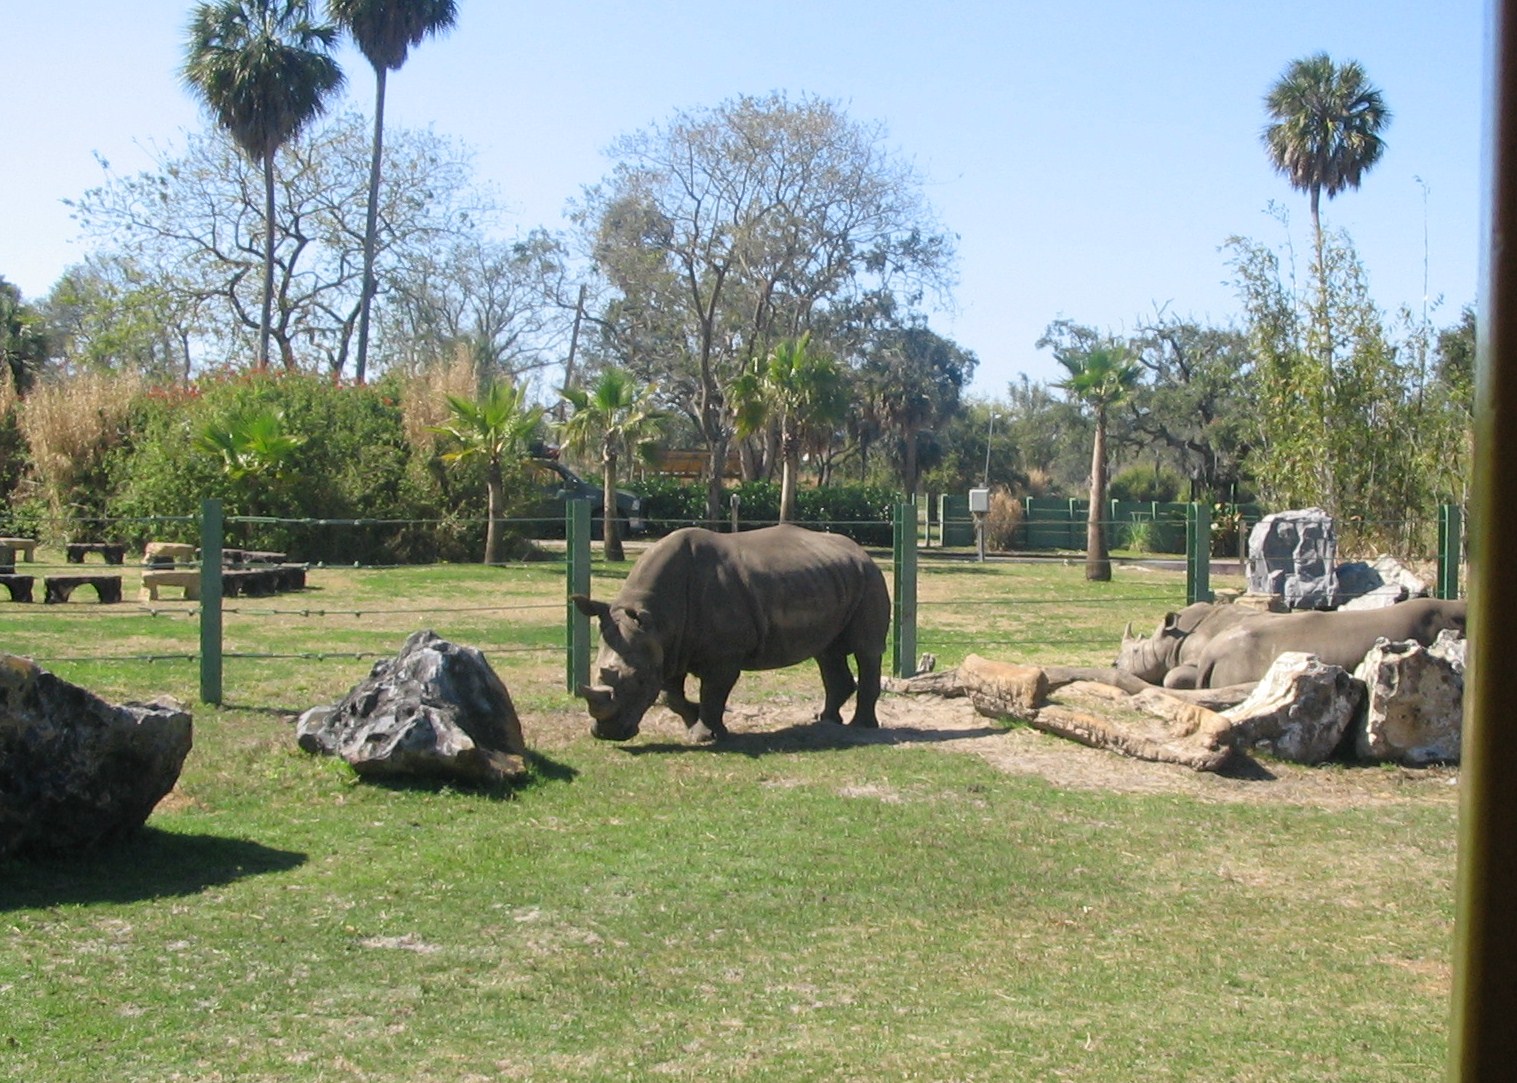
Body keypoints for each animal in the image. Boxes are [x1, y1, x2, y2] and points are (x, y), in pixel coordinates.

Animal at [572, 524, 891, 742]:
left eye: (637, 681)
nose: (606, 734)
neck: (654, 616)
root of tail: (862, 552)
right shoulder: (669, 645)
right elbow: (670, 694)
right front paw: (693, 721)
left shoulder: (723, 654)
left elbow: (713, 691)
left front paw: (705, 735)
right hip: (832, 577)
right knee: (827, 652)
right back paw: (825, 721)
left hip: (870, 579)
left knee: (867, 651)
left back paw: (861, 727)